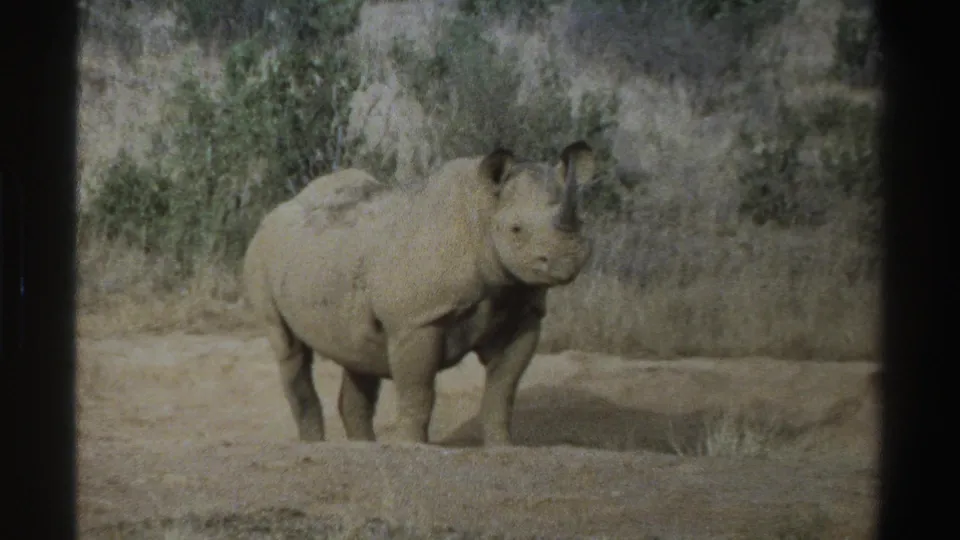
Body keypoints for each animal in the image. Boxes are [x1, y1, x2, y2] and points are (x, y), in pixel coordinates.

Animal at [242, 141, 598, 446]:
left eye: (581, 221)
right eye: (516, 230)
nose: (566, 259)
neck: (482, 213)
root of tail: (275, 211)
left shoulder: (521, 308)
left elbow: (503, 388)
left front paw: (502, 446)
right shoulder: (416, 320)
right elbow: (418, 390)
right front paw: (412, 445)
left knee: (357, 353)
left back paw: (363, 447)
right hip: (261, 255)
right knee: (289, 348)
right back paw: (315, 444)